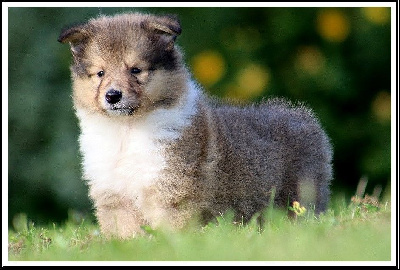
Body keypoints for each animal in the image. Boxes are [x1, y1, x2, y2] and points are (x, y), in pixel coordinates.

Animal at [58, 12, 334, 238]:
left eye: (136, 70)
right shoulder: (115, 196)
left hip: (301, 197)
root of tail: (306, 119)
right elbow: (126, 234)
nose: (113, 96)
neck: (128, 130)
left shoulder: (172, 190)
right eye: (100, 73)